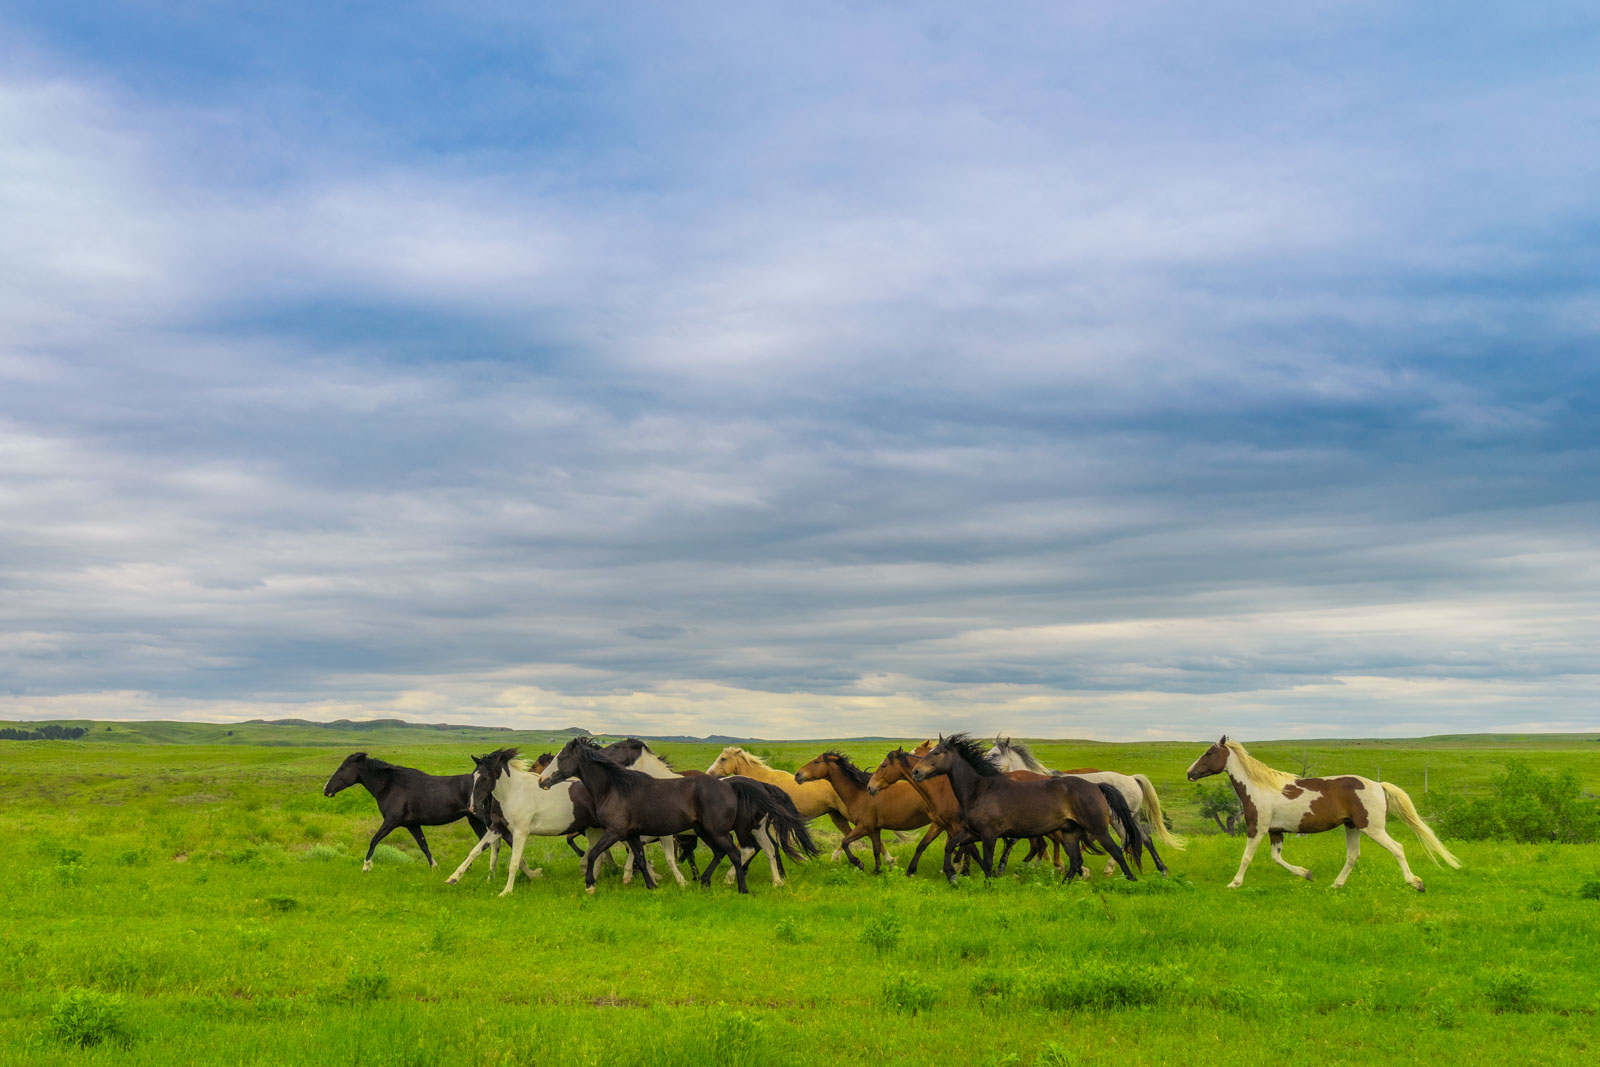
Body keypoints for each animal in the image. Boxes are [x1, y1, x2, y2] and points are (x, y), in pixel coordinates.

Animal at [323, 751, 486, 870]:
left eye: (342, 768)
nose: (326, 789)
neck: (390, 786)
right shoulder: (412, 825)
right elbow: (423, 845)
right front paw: (434, 867)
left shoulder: (391, 821)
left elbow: (374, 839)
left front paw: (366, 866)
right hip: (474, 820)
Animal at [540, 735, 758, 895]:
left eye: (562, 758)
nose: (542, 780)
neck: (615, 788)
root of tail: (729, 785)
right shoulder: (632, 835)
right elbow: (641, 859)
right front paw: (651, 885)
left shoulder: (615, 832)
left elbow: (594, 854)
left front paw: (590, 885)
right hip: (704, 831)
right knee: (721, 853)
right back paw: (704, 882)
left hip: (718, 832)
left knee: (737, 853)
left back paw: (741, 888)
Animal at [793, 751, 934, 876]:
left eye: (816, 761)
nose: (797, 774)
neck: (859, 793)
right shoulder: (875, 828)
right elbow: (876, 849)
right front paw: (877, 871)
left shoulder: (864, 827)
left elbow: (845, 842)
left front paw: (858, 863)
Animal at [1184, 735, 1459, 895]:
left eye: (1208, 753)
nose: (1189, 773)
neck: (1260, 788)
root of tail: (1379, 785)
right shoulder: (1275, 831)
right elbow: (1276, 858)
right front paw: (1307, 874)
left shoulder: (1257, 828)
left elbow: (1246, 857)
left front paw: (1234, 883)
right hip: (1352, 827)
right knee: (1353, 855)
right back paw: (1336, 884)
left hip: (1372, 828)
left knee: (1398, 848)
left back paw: (1415, 883)